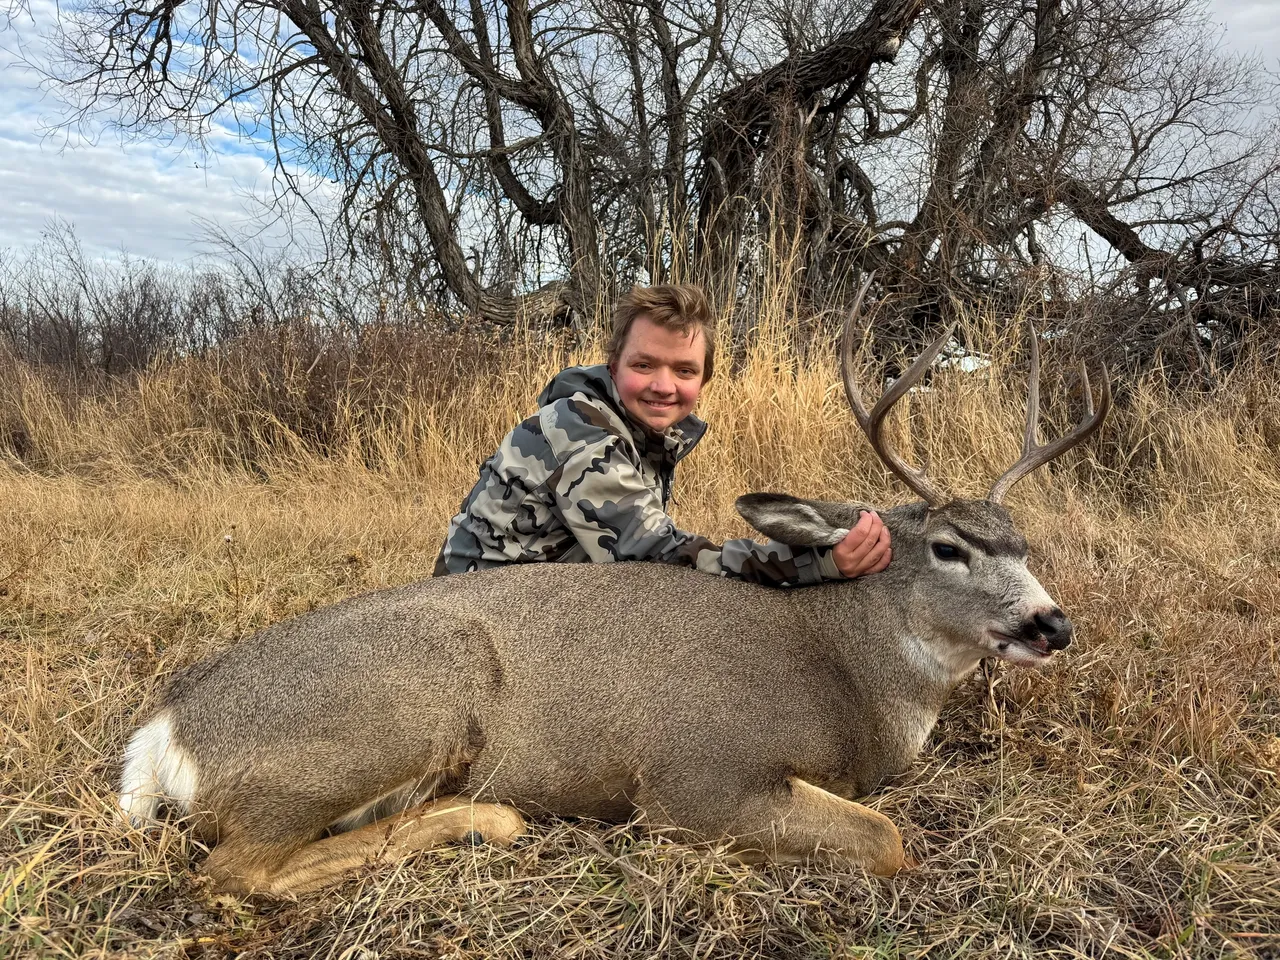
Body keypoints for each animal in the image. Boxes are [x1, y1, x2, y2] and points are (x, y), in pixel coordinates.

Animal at [118, 281, 1111, 896]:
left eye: (1024, 542)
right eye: (948, 547)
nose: (1051, 623)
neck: (848, 676)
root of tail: (163, 733)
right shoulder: (696, 777)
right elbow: (889, 840)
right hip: (390, 713)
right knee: (233, 870)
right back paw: (484, 818)